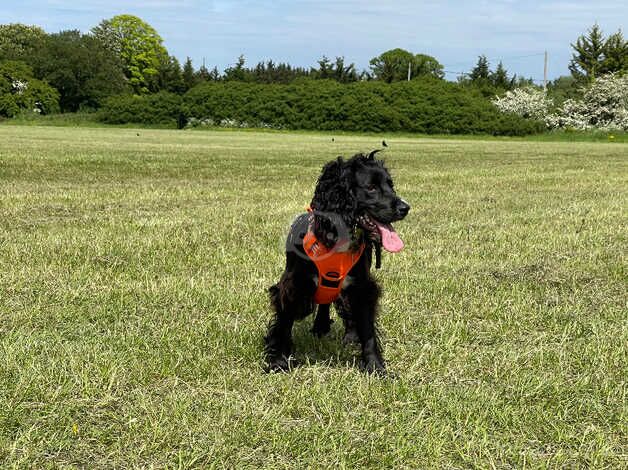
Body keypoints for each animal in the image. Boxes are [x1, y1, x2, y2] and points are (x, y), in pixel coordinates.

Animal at [264, 151, 408, 374]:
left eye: (390, 185)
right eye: (371, 187)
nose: (405, 207)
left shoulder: (363, 288)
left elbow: (367, 331)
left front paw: (375, 366)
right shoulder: (292, 286)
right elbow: (284, 324)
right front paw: (279, 361)